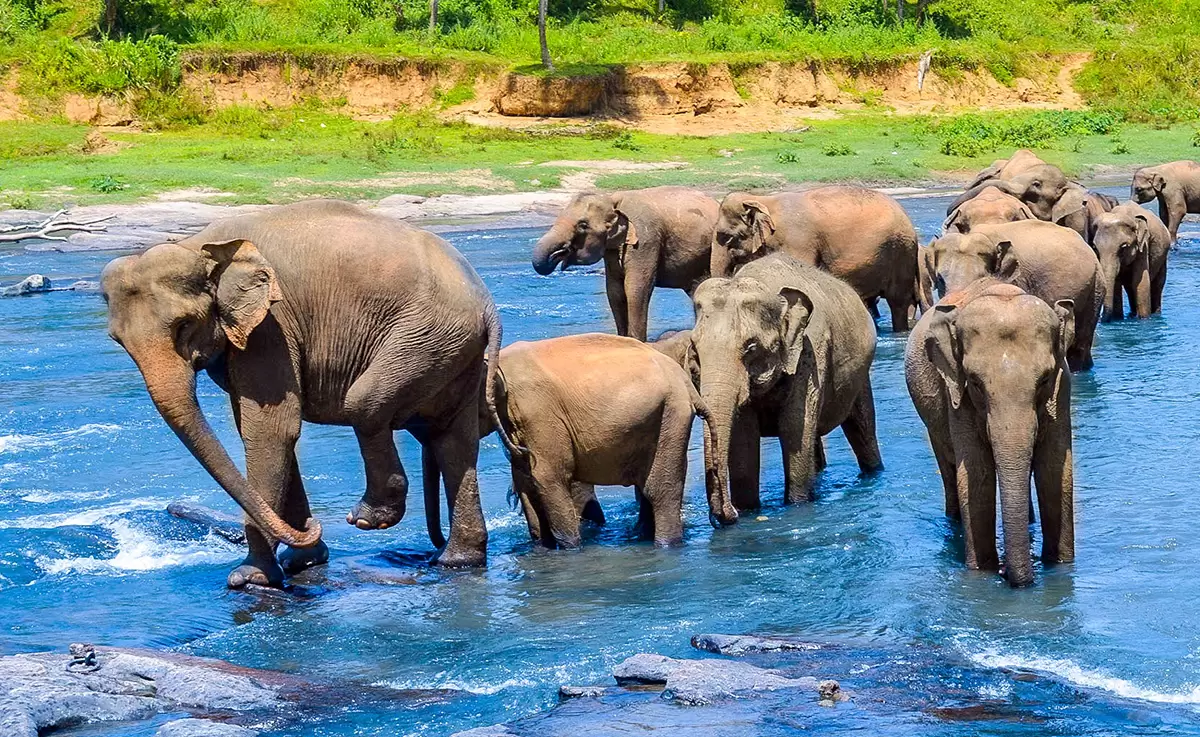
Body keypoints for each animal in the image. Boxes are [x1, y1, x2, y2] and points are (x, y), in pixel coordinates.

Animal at [101, 200, 520, 588]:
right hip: (452, 350)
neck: (198, 245)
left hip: (426, 338)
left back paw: (368, 518)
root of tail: (487, 303)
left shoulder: (272, 327)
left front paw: (250, 578)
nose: (315, 526)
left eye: (184, 326)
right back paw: (457, 562)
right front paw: (301, 562)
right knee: (452, 438)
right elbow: (260, 430)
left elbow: (271, 429)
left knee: (366, 404)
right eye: (116, 341)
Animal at [474, 333, 731, 548]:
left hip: (672, 417)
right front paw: (543, 548)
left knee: (661, 492)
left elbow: (549, 478)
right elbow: (527, 487)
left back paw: (665, 545)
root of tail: (687, 385)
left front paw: (570, 549)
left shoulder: (539, 414)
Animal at [531, 187, 719, 341]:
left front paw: (638, 342)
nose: (562, 252)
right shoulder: (611, 249)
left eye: (583, 225)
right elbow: (614, 291)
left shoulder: (645, 240)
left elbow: (634, 288)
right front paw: (623, 340)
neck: (611, 199)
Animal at [688, 252, 881, 508]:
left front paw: (798, 505)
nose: (728, 514)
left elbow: (793, 427)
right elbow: (744, 436)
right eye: (694, 348)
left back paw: (874, 472)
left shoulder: (811, 352)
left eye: (751, 347)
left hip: (861, 374)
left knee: (862, 428)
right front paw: (748, 509)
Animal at [906, 279, 1075, 587]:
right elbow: (976, 473)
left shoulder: (1063, 386)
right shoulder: (956, 393)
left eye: (1044, 379)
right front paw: (982, 571)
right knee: (948, 468)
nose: (1005, 572)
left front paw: (1060, 565)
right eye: (975, 382)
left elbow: (1054, 469)